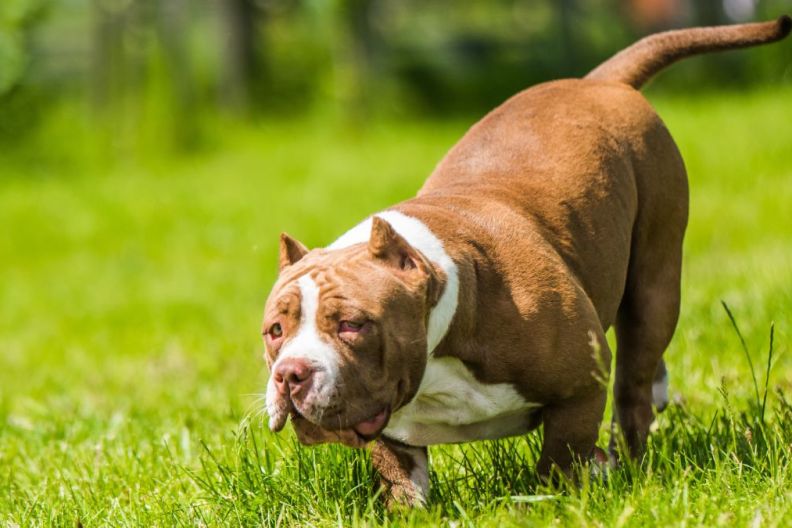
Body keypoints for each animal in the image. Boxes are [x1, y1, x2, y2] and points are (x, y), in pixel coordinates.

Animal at [262, 15, 792, 504]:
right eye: (275, 331)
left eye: (353, 324)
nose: (289, 373)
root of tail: (600, 82)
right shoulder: (391, 428)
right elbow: (402, 481)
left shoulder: (581, 383)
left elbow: (562, 454)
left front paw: (560, 499)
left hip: (655, 274)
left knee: (633, 383)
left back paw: (626, 458)